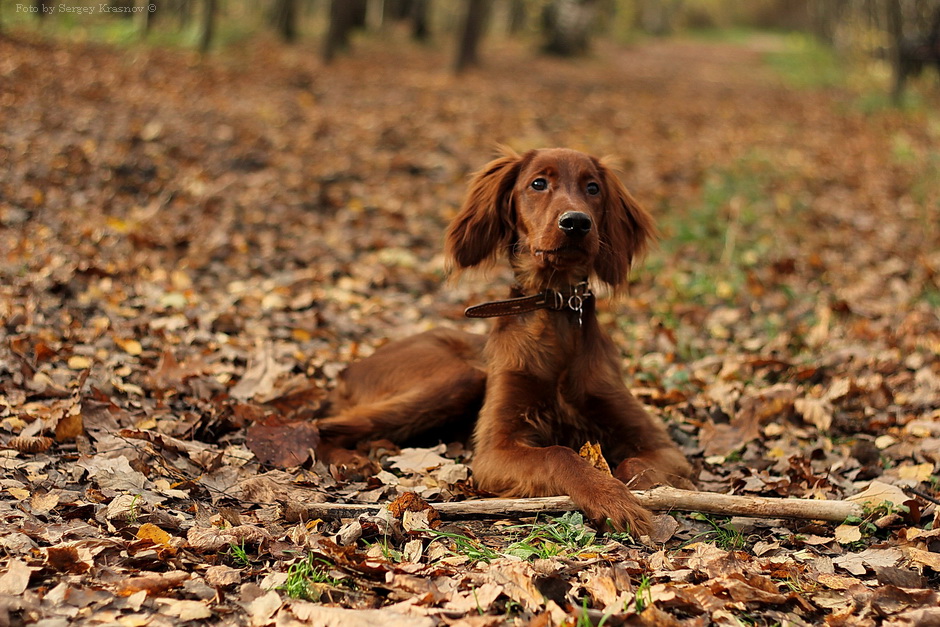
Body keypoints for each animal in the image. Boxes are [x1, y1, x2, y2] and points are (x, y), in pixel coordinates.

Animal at [320, 147, 692, 536]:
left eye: (593, 188)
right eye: (538, 184)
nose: (576, 222)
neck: (556, 305)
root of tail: (349, 370)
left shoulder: (662, 447)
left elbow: (636, 465)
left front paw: (637, 492)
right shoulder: (494, 453)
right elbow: (559, 454)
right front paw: (611, 497)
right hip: (461, 377)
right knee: (321, 425)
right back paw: (350, 461)